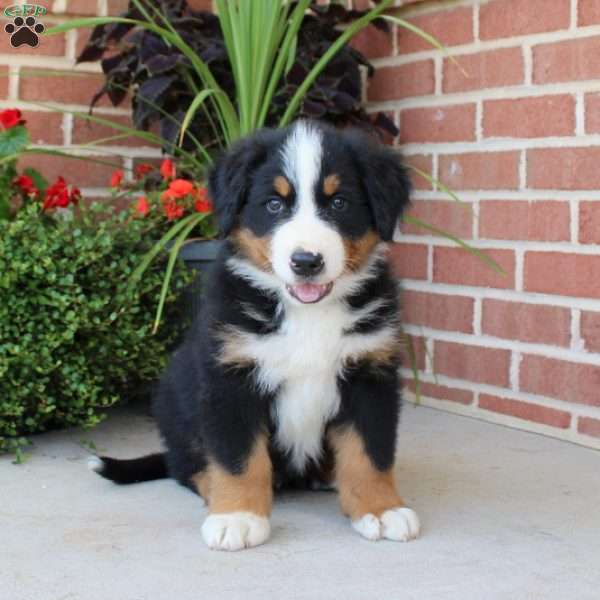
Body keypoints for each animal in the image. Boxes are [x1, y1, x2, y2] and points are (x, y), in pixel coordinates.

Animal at [90, 119, 422, 552]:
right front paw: (238, 516)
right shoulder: (231, 378)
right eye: (275, 205)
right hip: (174, 399)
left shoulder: (370, 373)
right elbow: (238, 457)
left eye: (339, 203)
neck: (306, 315)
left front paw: (381, 509)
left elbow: (370, 453)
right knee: (186, 466)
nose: (306, 261)